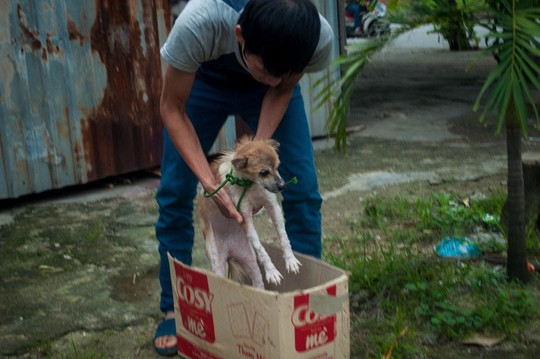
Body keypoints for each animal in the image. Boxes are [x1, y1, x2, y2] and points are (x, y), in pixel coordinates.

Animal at [198, 136, 302, 288]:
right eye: (263, 172)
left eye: (277, 166)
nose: (283, 186)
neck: (251, 185)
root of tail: (230, 251)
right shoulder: (244, 217)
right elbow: (260, 247)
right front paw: (272, 271)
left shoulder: (273, 208)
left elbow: (283, 236)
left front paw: (290, 259)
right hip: (217, 264)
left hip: (251, 262)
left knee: (258, 283)